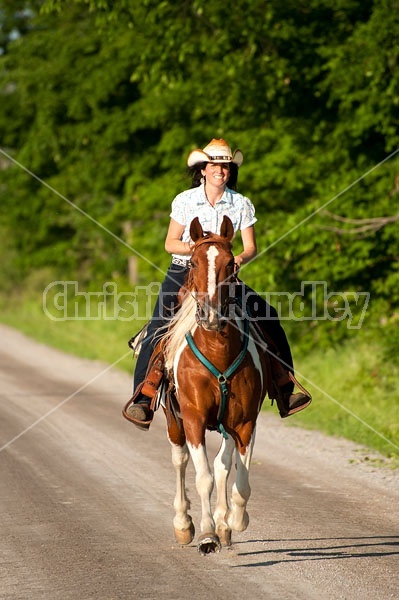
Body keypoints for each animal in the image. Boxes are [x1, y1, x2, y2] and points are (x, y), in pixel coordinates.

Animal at [162, 214, 268, 552]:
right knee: (180, 461)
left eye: (231, 263)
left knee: (223, 466)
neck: (218, 354)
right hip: (174, 421)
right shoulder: (194, 419)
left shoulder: (245, 423)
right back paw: (183, 524)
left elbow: (238, 480)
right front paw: (207, 534)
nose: (210, 315)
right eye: (194, 262)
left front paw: (233, 521)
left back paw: (224, 523)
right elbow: (203, 477)